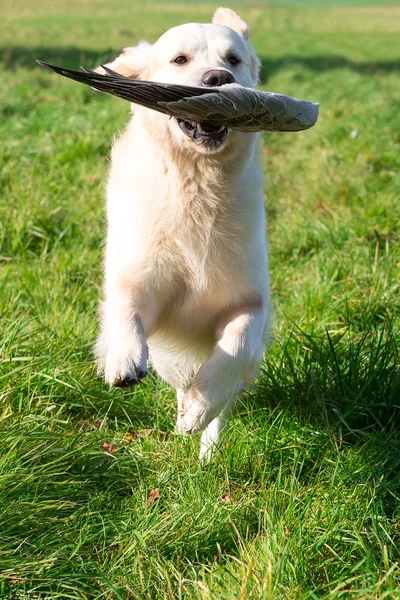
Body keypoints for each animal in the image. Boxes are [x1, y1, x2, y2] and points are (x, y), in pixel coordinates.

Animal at [94, 7, 268, 460]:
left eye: (233, 60)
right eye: (179, 60)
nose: (218, 79)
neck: (198, 183)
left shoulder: (250, 301)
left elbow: (236, 345)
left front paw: (199, 411)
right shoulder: (142, 282)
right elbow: (125, 304)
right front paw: (123, 358)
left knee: (224, 398)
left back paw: (205, 443)